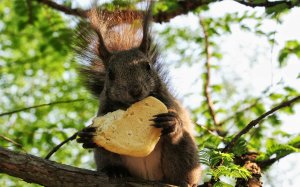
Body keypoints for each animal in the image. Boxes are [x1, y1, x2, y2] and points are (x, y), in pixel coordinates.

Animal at [75, 3, 202, 187]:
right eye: (110, 74)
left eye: (148, 66)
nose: (135, 91)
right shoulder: (104, 110)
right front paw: (87, 136)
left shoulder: (169, 103)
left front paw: (172, 121)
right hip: (106, 157)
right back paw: (115, 171)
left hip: (185, 153)